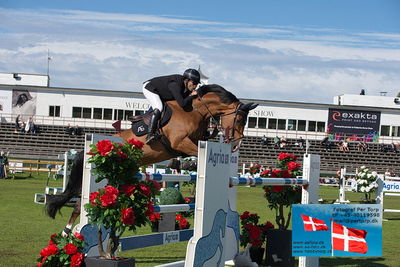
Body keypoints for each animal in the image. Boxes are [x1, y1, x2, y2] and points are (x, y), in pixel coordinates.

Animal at [43, 84, 256, 234]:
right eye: (239, 119)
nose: (235, 145)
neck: (195, 110)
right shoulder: (180, 142)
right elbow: (195, 152)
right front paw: (189, 164)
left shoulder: (192, 141)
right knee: (79, 205)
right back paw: (68, 234)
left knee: (80, 204)